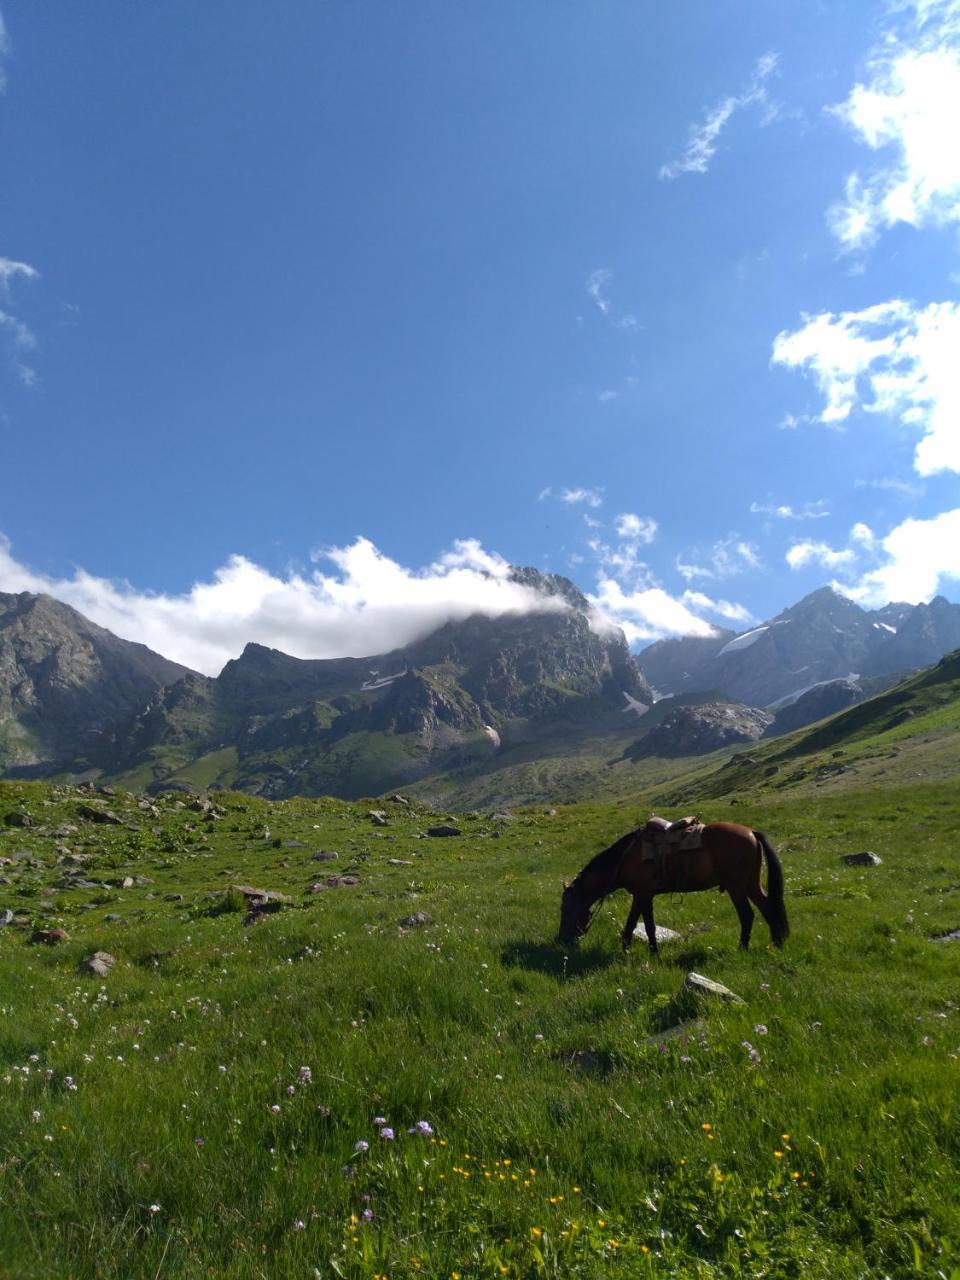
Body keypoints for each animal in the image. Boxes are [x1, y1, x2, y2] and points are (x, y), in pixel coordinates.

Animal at [555, 824, 788, 957]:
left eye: (565, 909)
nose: (561, 941)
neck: (624, 858)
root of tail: (751, 832)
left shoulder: (643, 894)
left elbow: (645, 926)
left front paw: (649, 953)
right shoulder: (641, 895)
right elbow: (635, 924)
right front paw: (630, 949)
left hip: (736, 886)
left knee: (747, 915)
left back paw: (742, 949)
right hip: (750, 884)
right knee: (767, 908)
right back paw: (776, 943)